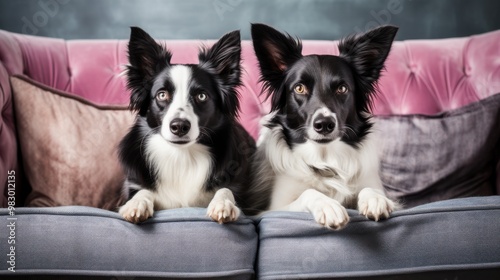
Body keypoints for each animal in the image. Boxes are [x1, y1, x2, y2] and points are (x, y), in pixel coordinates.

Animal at [119, 27, 256, 224]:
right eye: (162, 95)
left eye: (201, 96)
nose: (179, 126)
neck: (182, 156)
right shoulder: (134, 183)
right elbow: (143, 191)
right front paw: (136, 204)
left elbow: (226, 189)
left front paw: (223, 204)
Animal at [250, 23, 398, 230]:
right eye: (299, 88)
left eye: (342, 88)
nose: (324, 124)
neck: (325, 158)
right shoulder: (271, 210)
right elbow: (309, 193)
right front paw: (328, 206)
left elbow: (370, 189)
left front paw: (375, 199)